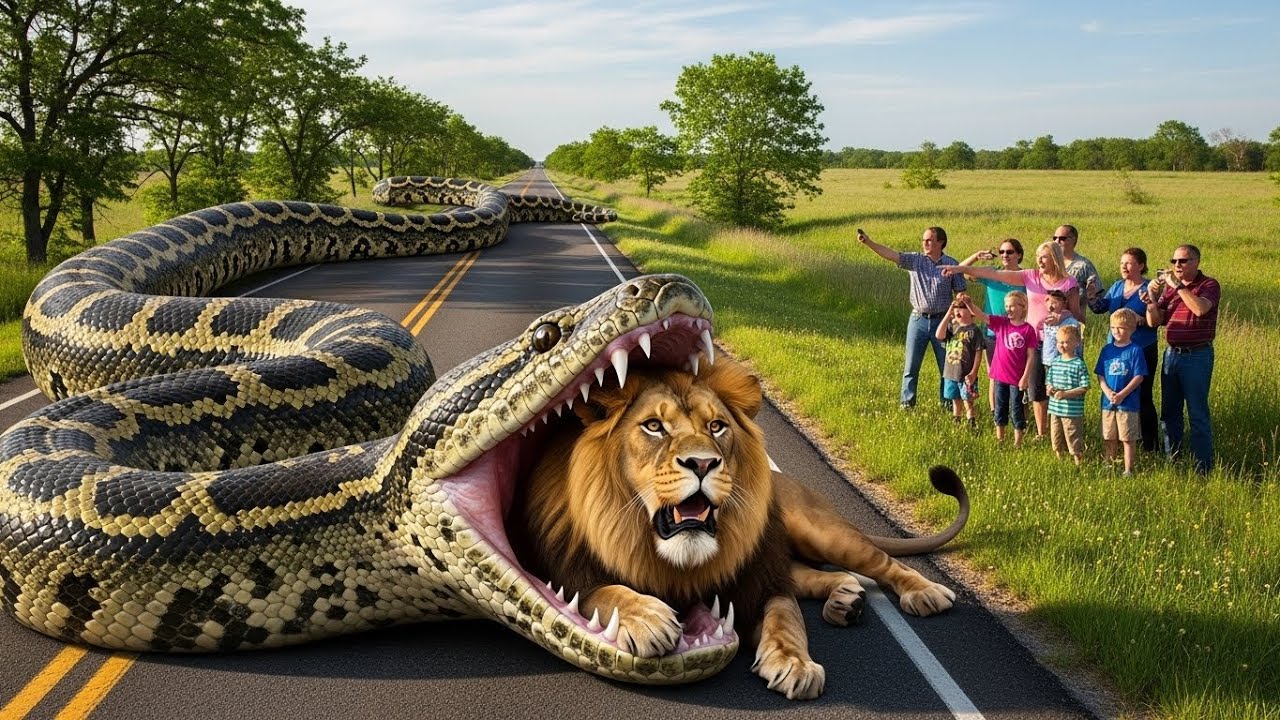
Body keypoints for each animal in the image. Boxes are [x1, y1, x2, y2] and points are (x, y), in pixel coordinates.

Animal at [511, 358, 967, 700]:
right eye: (654, 426)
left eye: (717, 426)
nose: (702, 463)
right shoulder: (572, 575)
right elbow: (604, 593)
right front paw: (649, 618)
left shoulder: (762, 582)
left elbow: (786, 619)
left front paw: (795, 663)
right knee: (816, 575)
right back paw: (845, 600)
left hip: (820, 532)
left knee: (880, 561)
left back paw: (925, 593)